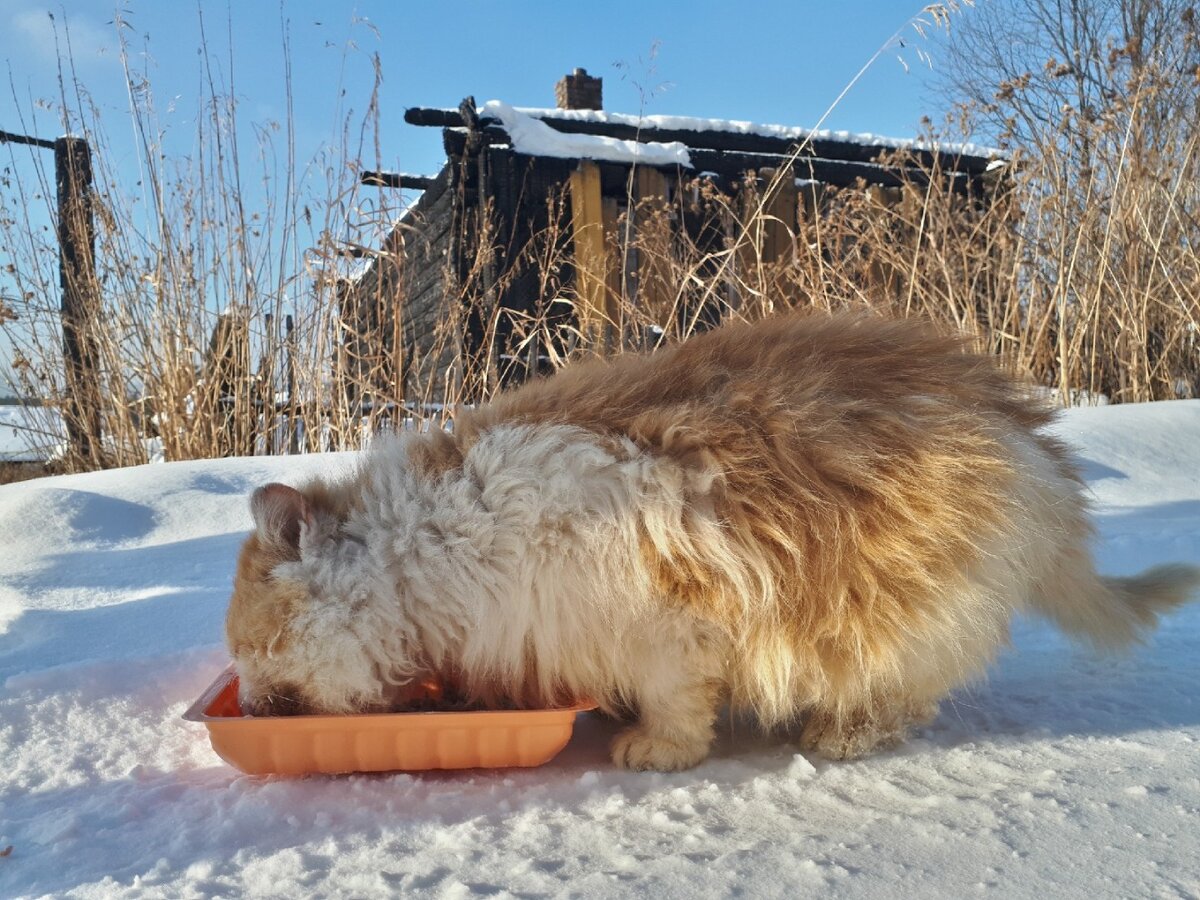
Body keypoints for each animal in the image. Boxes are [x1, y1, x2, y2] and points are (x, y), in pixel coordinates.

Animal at [225, 314, 1200, 772]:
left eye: (249, 653)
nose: (251, 703)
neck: (428, 549)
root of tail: (1034, 442)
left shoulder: (668, 617)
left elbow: (677, 703)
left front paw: (654, 747)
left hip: (915, 604)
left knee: (904, 692)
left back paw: (842, 731)